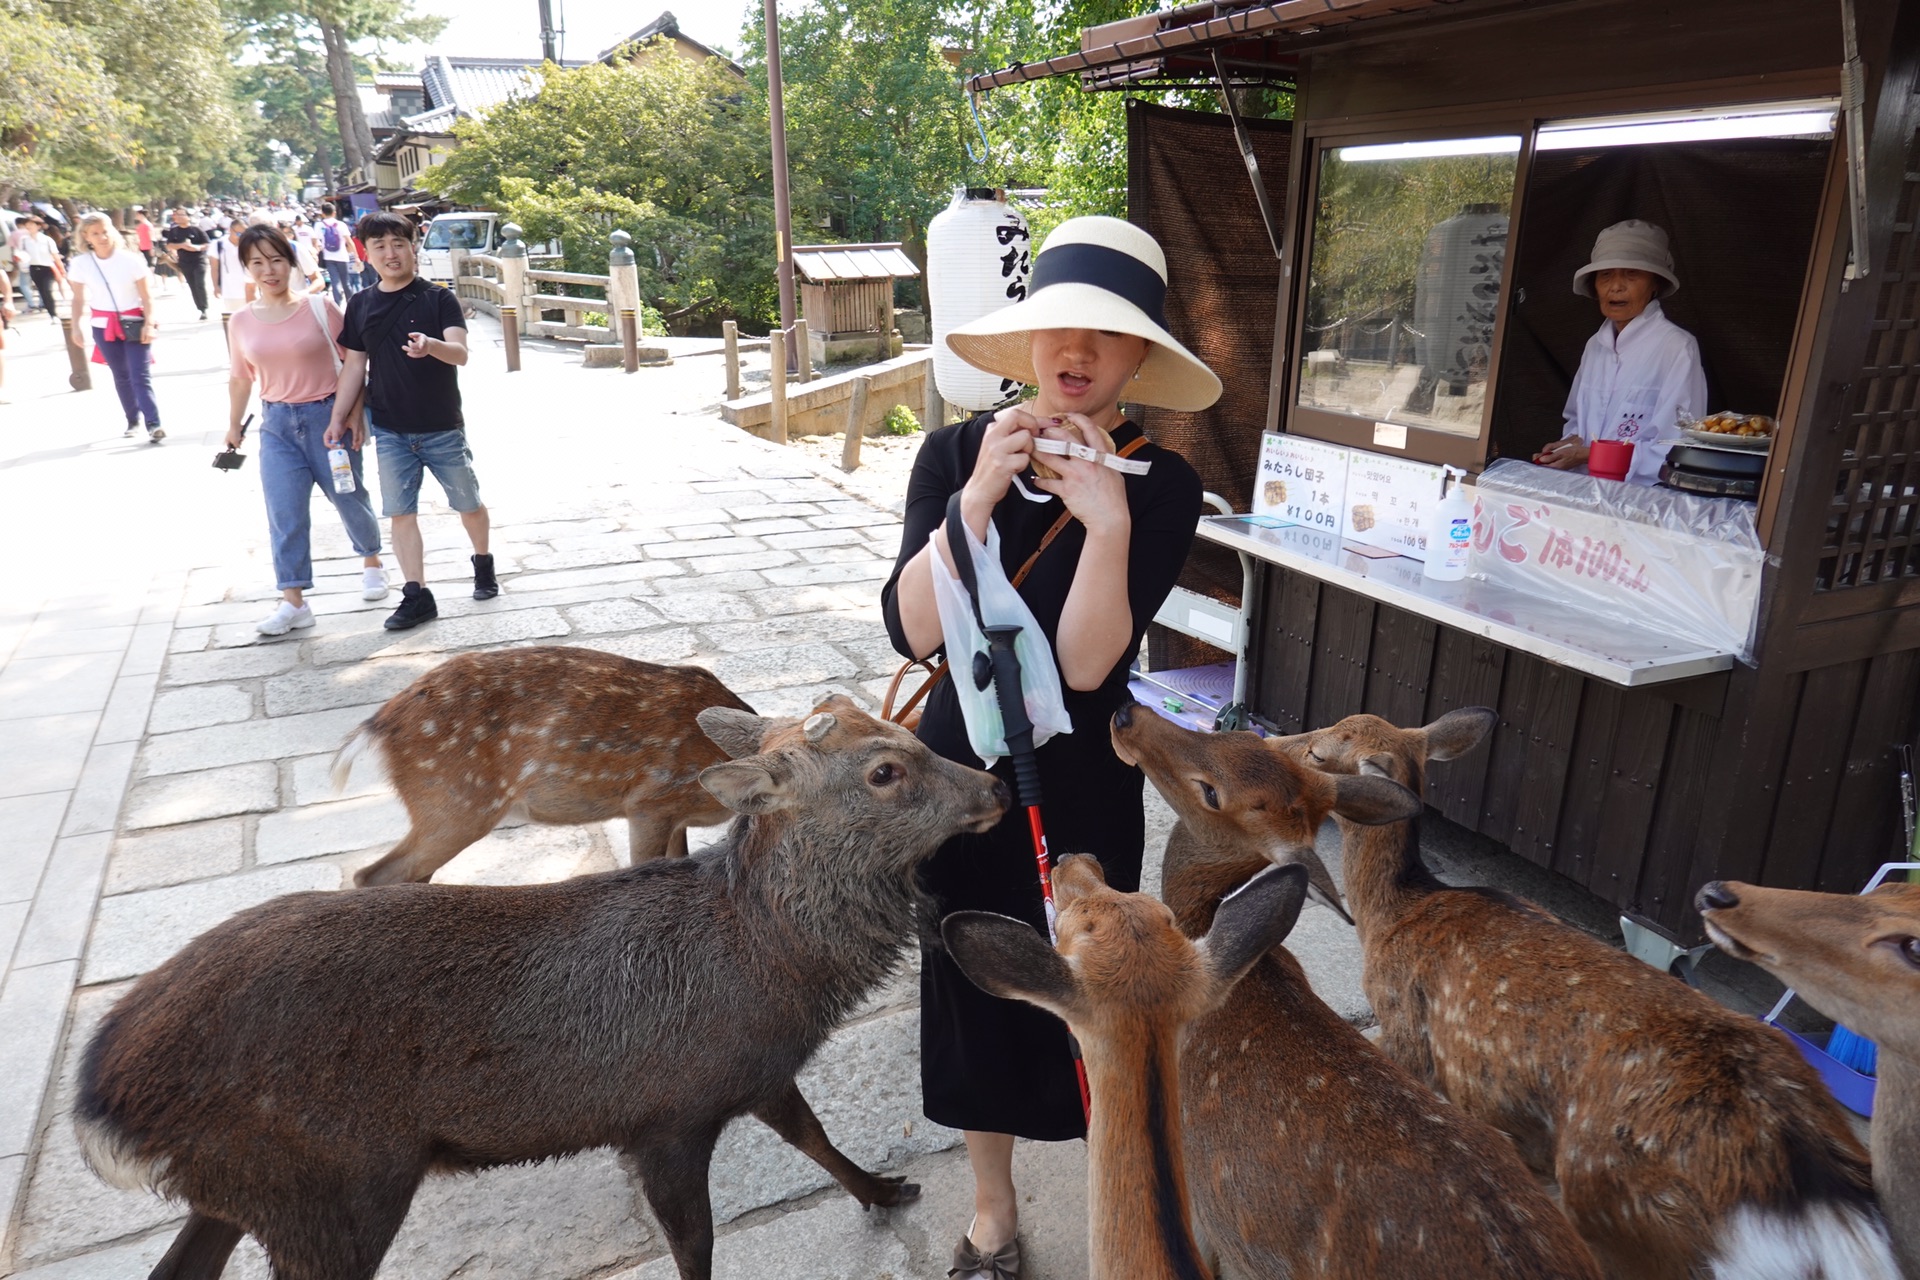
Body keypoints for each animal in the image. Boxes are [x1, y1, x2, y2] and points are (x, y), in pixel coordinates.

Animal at [74, 702, 1006, 1280]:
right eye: (885, 769)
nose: (996, 784)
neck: (769, 971)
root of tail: (101, 1101)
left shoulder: (750, 1074)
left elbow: (815, 1137)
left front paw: (885, 1191)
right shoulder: (664, 1115)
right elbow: (696, 1247)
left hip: (245, 1188)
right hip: (336, 1186)